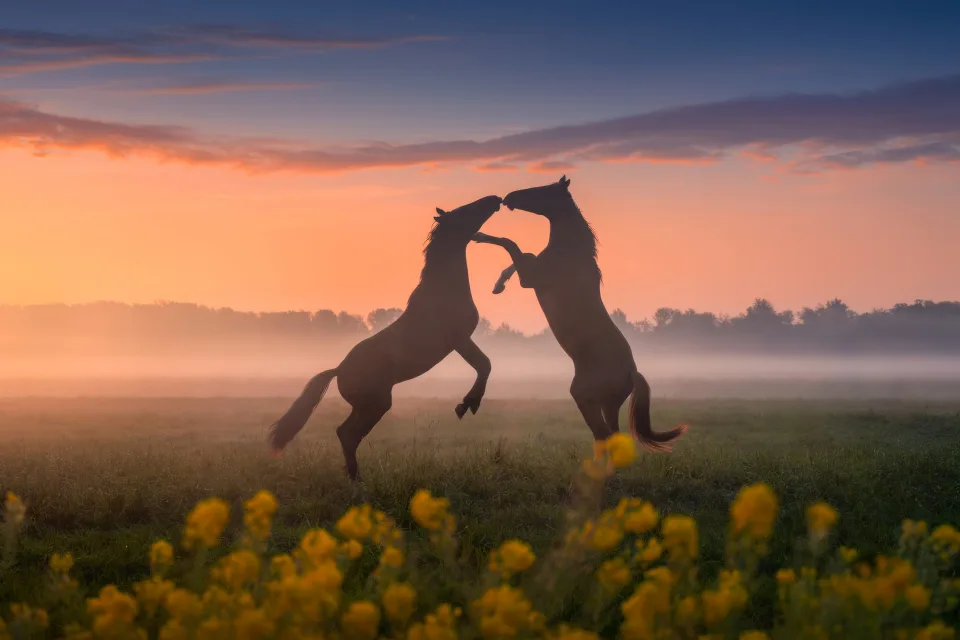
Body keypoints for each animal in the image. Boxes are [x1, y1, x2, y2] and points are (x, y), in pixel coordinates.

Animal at [268, 195, 503, 480]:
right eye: (463, 212)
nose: (494, 199)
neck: (444, 289)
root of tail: (339, 370)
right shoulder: (459, 339)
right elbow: (484, 365)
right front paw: (468, 404)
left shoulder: (461, 341)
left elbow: (483, 365)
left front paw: (467, 404)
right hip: (376, 404)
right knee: (348, 434)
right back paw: (358, 480)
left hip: (366, 406)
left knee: (344, 433)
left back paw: (354, 477)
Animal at [471, 176, 687, 451]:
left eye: (543, 191)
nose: (507, 198)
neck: (569, 254)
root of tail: (631, 373)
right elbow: (520, 253)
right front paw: (498, 285)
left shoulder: (531, 279)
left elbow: (512, 244)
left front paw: (478, 236)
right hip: (607, 405)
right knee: (611, 436)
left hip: (586, 399)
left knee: (603, 434)